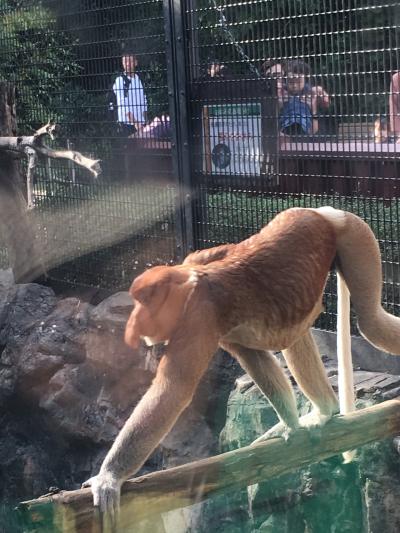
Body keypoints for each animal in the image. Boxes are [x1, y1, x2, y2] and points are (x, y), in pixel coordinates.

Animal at [83, 206, 400, 520]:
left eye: (145, 301)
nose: (134, 322)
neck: (191, 283)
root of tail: (322, 212)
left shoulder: (199, 317)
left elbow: (174, 389)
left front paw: (109, 477)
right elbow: (252, 356)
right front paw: (291, 427)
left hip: (354, 236)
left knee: (371, 322)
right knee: (296, 334)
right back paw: (324, 411)